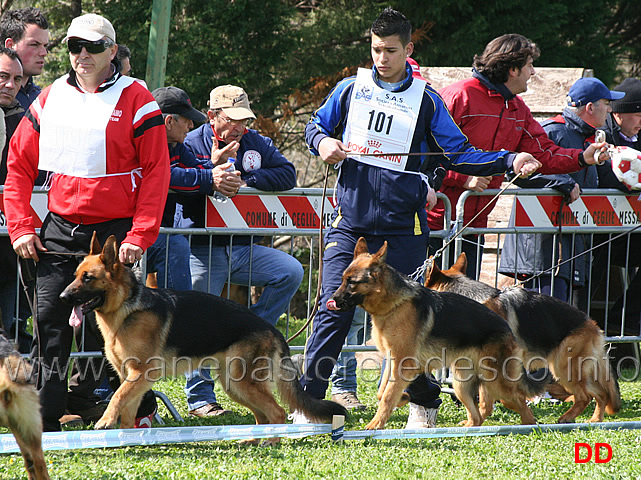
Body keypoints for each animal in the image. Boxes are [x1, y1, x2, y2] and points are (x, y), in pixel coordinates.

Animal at [60, 234, 344, 440]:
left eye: (88, 278)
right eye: (75, 276)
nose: (62, 297)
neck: (126, 308)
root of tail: (273, 330)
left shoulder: (141, 375)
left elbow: (117, 397)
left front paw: (105, 420)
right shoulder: (130, 378)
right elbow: (127, 410)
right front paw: (124, 441)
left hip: (243, 384)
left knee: (276, 413)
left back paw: (270, 442)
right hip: (234, 385)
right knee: (263, 415)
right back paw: (254, 440)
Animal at [330, 238, 544, 430]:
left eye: (352, 282)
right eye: (342, 279)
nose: (332, 300)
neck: (394, 305)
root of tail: (507, 327)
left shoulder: (402, 365)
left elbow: (387, 396)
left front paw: (375, 425)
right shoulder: (392, 361)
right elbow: (382, 393)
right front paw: (403, 398)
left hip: (496, 382)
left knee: (520, 403)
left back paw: (528, 427)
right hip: (461, 384)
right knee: (478, 415)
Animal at [422, 253, 624, 422]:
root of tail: (593, 325)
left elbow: (500, 398)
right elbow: (487, 402)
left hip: (563, 369)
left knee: (586, 395)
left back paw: (569, 418)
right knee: (601, 394)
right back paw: (595, 419)